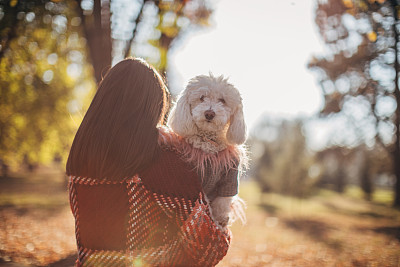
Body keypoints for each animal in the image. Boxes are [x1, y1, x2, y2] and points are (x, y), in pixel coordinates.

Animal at [166, 74, 247, 228]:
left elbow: (222, 202)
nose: (209, 113)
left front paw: (220, 219)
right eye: (202, 98)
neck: (208, 141)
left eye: (222, 100)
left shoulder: (230, 177)